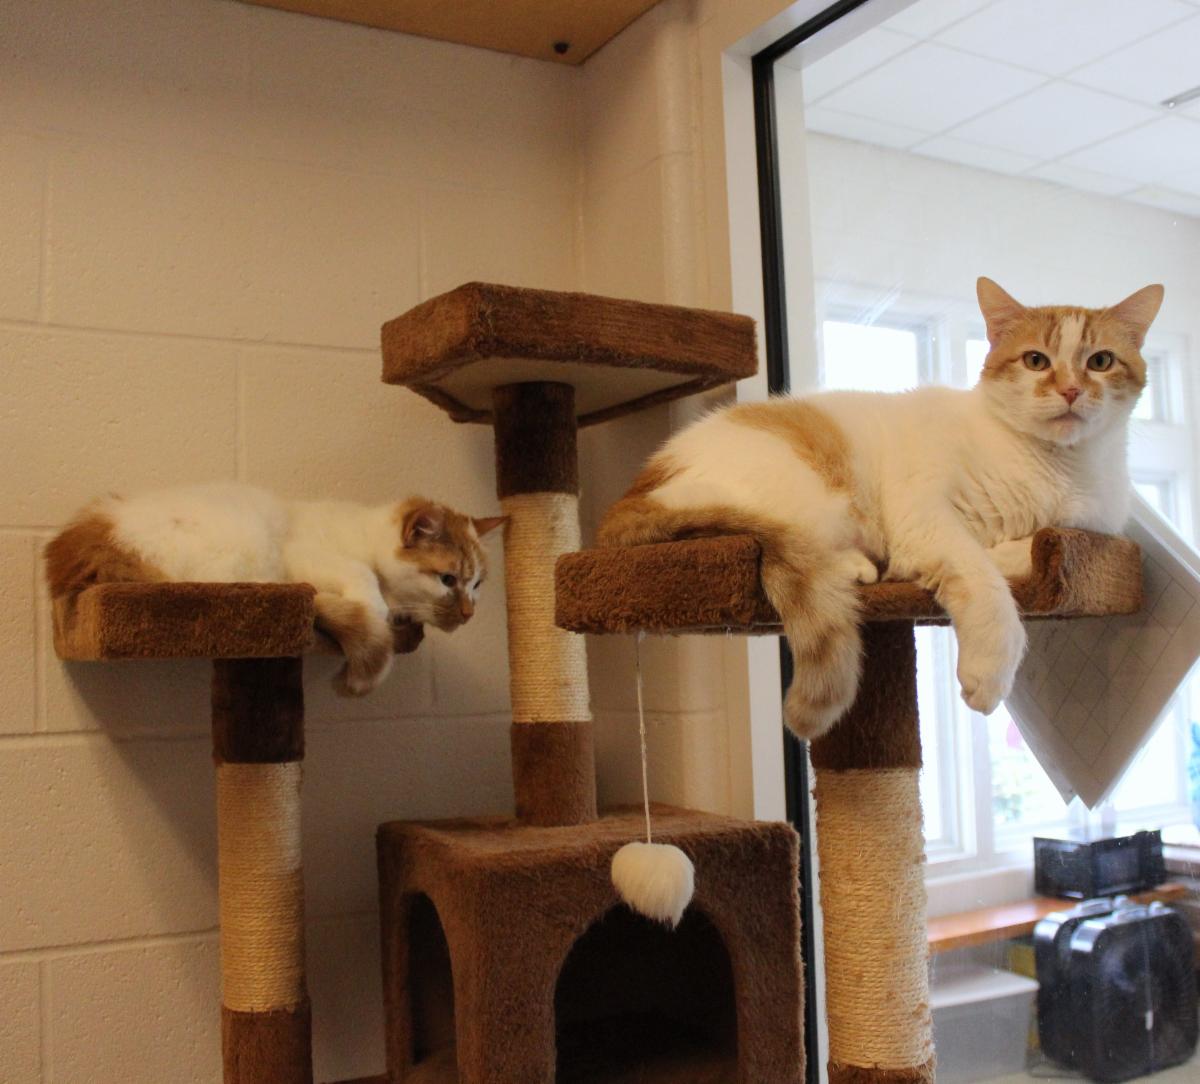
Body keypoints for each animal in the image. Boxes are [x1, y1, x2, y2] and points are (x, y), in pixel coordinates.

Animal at [44, 482, 504, 696]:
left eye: (477, 584)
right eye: (448, 579)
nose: (469, 612)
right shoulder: (303, 554)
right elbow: (362, 576)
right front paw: (376, 609)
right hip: (243, 546)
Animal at [600, 276, 1161, 739]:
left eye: (1100, 361)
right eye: (1036, 361)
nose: (1070, 389)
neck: (1052, 468)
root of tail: (638, 486)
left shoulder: (1082, 527)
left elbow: (1020, 548)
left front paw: (1011, 555)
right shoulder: (925, 520)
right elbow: (982, 581)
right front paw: (990, 665)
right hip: (809, 500)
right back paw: (854, 567)